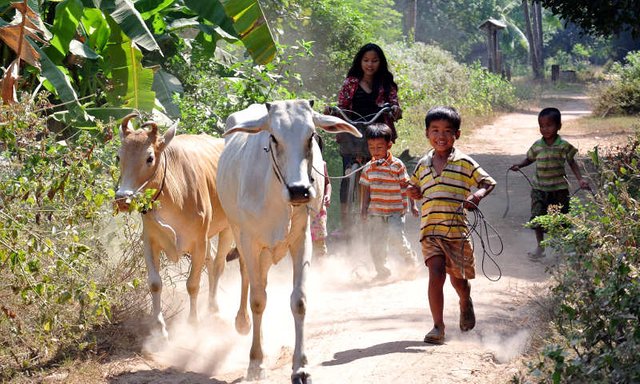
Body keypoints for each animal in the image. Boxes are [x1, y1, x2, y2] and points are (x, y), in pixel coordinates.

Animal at [114, 114, 249, 340]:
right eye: (118, 157)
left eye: (149, 158)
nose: (122, 198)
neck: (173, 194)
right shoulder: (150, 242)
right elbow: (155, 283)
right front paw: (159, 329)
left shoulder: (198, 243)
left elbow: (192, 284)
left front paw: (193, 324)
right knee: (212, 260)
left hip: (229, 229)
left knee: (219, 264)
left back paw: (214, 308)